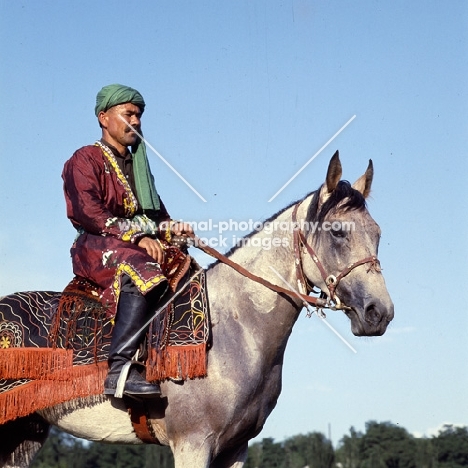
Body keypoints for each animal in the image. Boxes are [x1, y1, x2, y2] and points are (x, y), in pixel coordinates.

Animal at [0, 152, 394, 466]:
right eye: (338, 232)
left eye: (377, 233)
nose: (379, 312)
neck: (237, 331)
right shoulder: (193, 444)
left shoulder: (235, 448)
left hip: (23, 433)